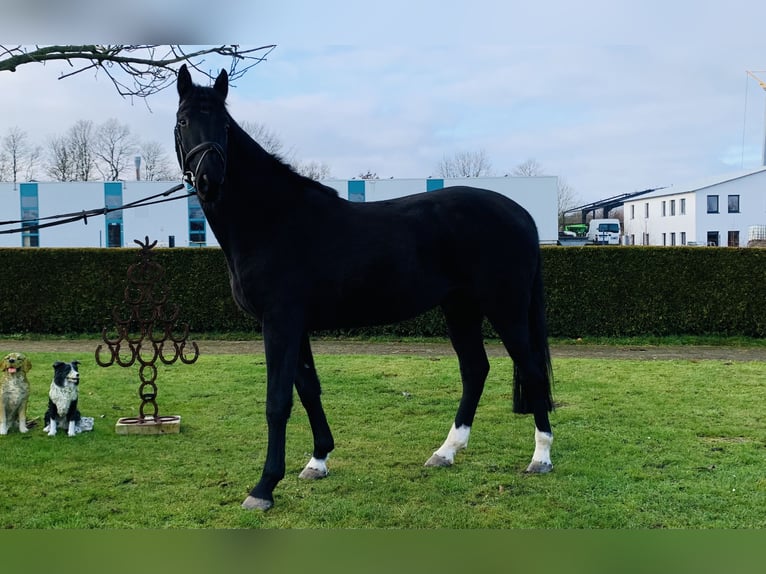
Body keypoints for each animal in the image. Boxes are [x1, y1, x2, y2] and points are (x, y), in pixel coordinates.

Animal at [174, 64, 554, 511]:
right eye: (184, 121)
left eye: (225, 126)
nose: (208, 180)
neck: (272, 219)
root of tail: (521, 213)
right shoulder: (294, 326)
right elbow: (309, 389)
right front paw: (318, 460)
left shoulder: (279, 323)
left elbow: (277, 401)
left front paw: (264, 487)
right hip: (460, 308)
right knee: (475, 369)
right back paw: (446, 452)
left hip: (505, 309)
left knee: (531, 370)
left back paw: (540, 457)